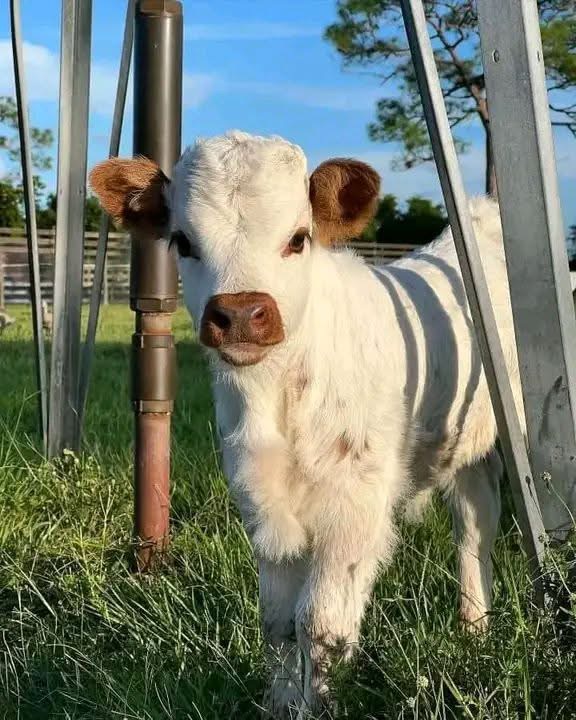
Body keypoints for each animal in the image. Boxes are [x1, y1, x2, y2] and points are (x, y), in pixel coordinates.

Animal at [90, 131, 522, 719]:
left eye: (298, 239)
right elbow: (277, 622)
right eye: (182, 241)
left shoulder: (356, 505)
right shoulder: (259, 499)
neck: (278, 399)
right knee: (476, 525)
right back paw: (474, 631)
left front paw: (319, 706)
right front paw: (279, 703)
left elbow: (320, 625)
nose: (240, 314)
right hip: (471, 452)